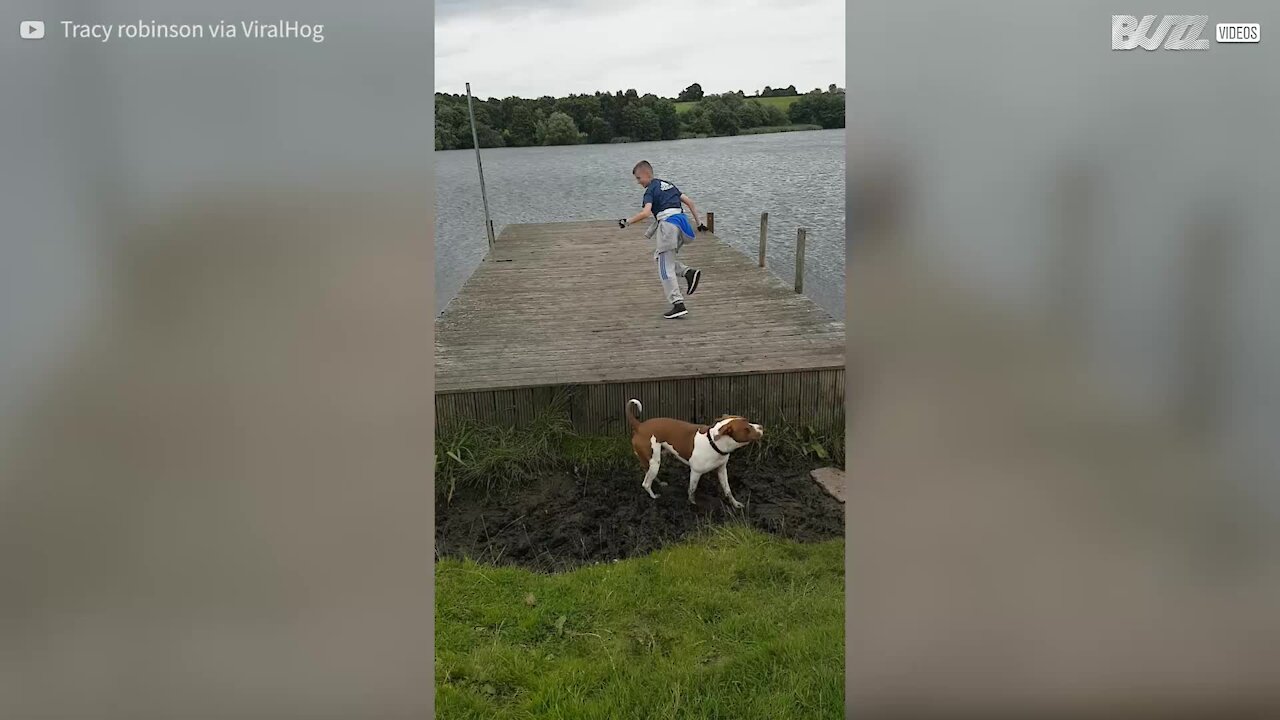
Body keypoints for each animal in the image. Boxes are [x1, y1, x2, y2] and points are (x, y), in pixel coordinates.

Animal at [627, 394, 762, 507]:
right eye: (746, 429)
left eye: (747, 421)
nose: (761, 427)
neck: (713, 442)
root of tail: (639, 426)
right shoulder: (696, 472)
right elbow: (691, 490)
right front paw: (692, 505)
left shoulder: (722, 470)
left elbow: (727, 490)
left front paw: (735, 504)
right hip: (654, 461)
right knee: (645, 483)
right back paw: (654, 497)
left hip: (653, 459)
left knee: (648, 474)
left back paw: (660, 484)